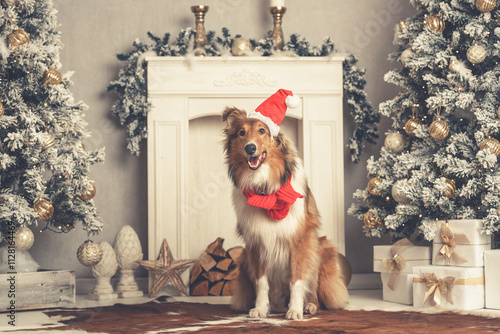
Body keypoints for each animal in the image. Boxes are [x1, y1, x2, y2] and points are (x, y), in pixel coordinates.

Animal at [223, 93, 348, 318]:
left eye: (262, 131)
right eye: (241, 133)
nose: (250, 148)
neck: (265, 188)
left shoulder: (299, 239)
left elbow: (296, 279)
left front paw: (295, 310)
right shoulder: (257, 243)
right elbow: (261, 282)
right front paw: (260, 309)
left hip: (320, 249)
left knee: (314, 289)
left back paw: (309, 306)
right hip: (244, 258)